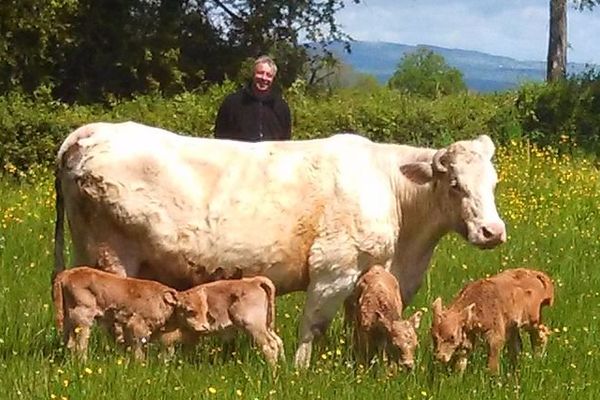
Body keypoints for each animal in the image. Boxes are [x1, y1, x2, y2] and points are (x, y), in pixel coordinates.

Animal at [52, 122, 506, 368]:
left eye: (494, 182)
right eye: (455, 183)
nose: (493, 231)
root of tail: (92, 131)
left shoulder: (365, 277)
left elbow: (358, 326)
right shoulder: (333, 270)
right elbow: (313, 327)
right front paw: (298, 371)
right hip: (111, 256)